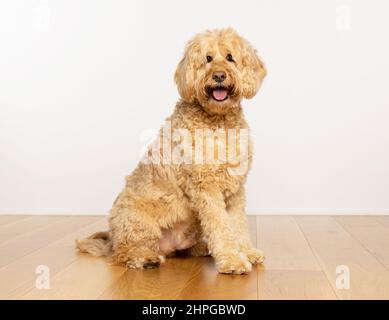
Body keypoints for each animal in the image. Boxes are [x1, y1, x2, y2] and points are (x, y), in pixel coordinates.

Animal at [77, 27, 268, 274]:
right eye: (207, 59)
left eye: (229, 57)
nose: (218, 76)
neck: (218, 121)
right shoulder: (205, 188)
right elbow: (220, 226)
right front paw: (232, 260)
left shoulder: (235, 189)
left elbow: (237, 224)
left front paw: (247, 251)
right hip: (136, 222)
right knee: (124, 253)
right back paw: (145, 258)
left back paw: (202, 248)